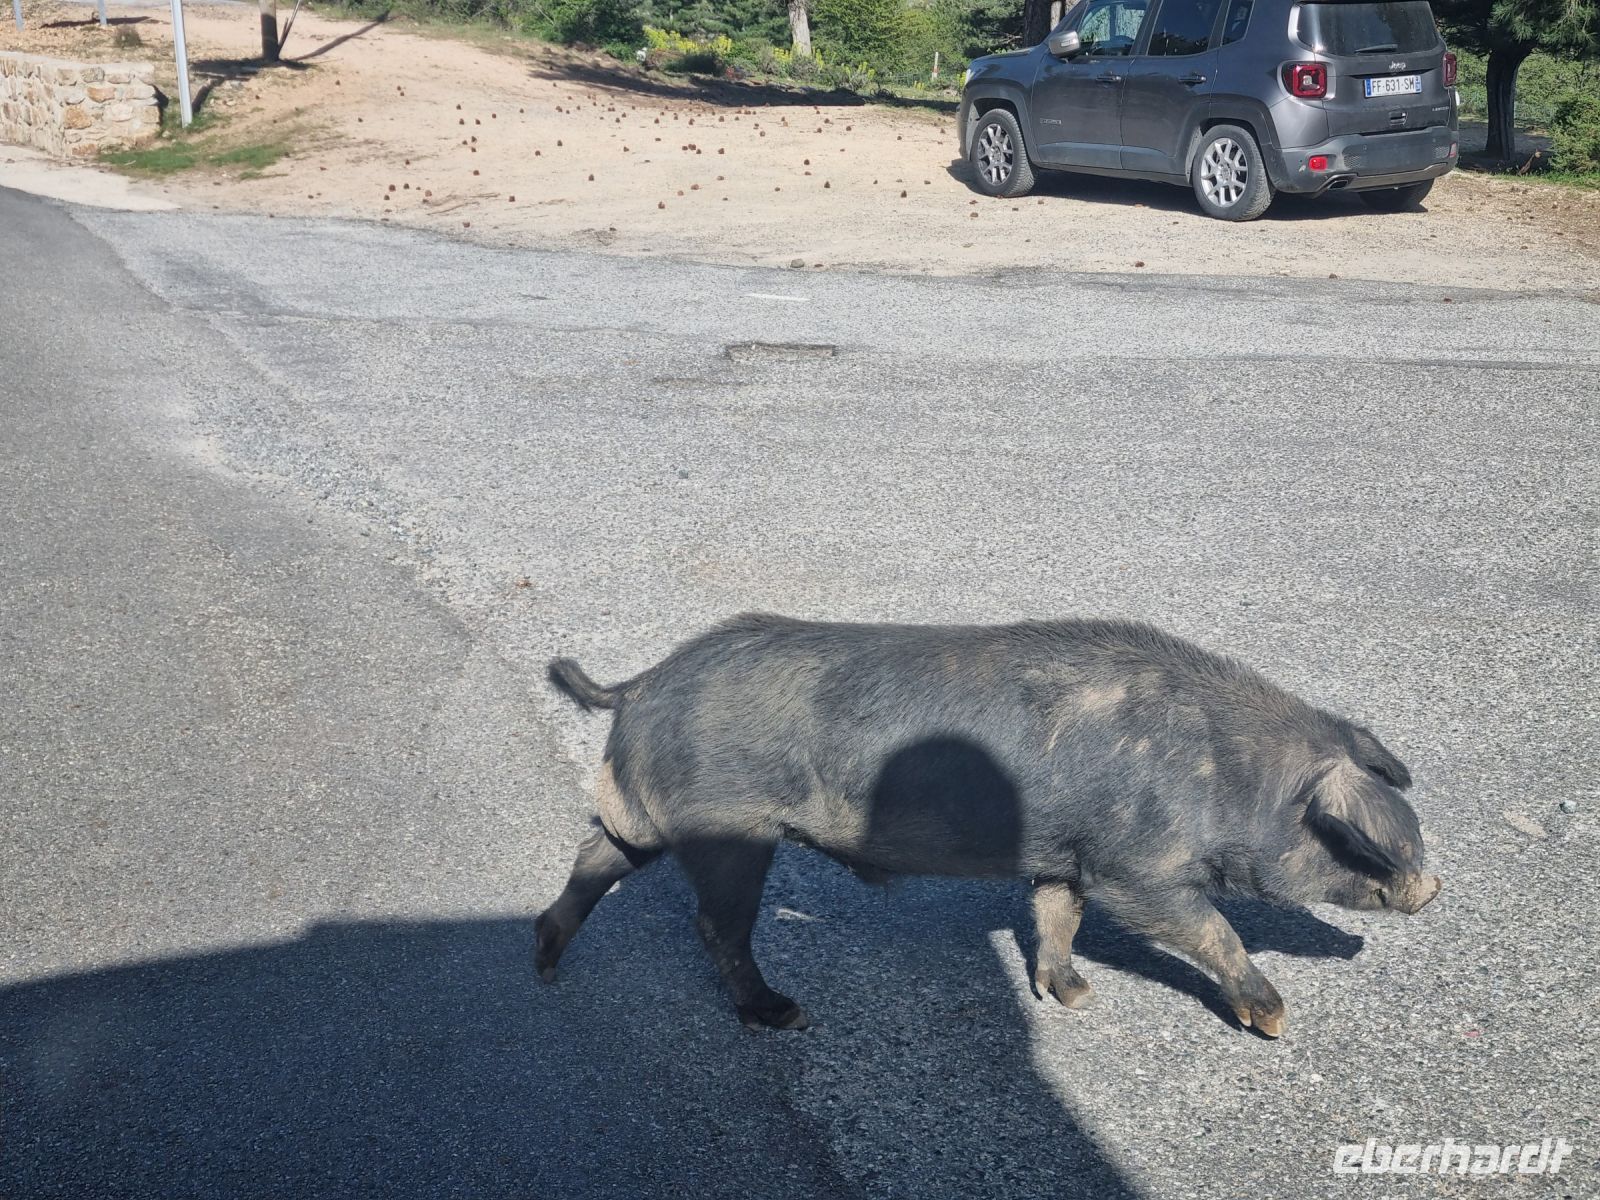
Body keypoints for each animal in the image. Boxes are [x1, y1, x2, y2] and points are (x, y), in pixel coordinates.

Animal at [536, 614, 1441, 1036]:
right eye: (1356, 842)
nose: (1432, 886)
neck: (1229, 778)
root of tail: (641, 681)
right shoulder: (1135, 868)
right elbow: (1212, 929)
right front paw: (1276, 1021)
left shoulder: (1065, 855)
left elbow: (1055, 917)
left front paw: (1072, 997)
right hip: (731, 831)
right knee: (714, 924)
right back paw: (783, 1014)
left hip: (642, 814)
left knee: (594, 857)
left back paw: (544, 962)